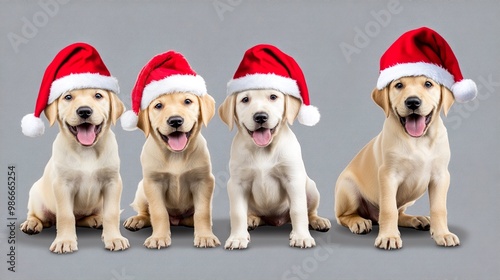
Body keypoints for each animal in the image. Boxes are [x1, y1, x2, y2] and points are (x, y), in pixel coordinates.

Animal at [20, 88, 129, 253]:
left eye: (98, 95)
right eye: (68, 97)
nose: (84, 111)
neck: (87, 151)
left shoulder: (113, 182)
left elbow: (111, 213)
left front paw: (114, 238)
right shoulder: (62, 185)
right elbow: (66, 215)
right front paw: (64, 241)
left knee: (83, 218)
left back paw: (96, 219)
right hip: (36, 197)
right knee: (37, 215)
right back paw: (31, 223)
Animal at [220, 88, 332, 249]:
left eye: (273, 97)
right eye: (245, 99)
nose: (260, 117)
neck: (262, 150)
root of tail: (276, 221)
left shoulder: (293, 180)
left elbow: (298, 210)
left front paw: (301, 236)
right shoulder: (237, 184)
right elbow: (237, 213)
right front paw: (237, 238)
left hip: (311, 188)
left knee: (309, 212)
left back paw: (317, 221)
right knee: (254, 214)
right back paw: (251, 219)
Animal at [334, 76, 458, 249]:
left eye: (428, 84)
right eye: (399, 85)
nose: (413, 102)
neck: (418, 140)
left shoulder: (441, 176)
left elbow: (439, 208)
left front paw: (443, 234)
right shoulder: (388, 176)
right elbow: (388, 209)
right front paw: (388, 236)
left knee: (399, 214)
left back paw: (415, 219)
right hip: (348, 188)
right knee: (344, 216)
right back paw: (358, 222)